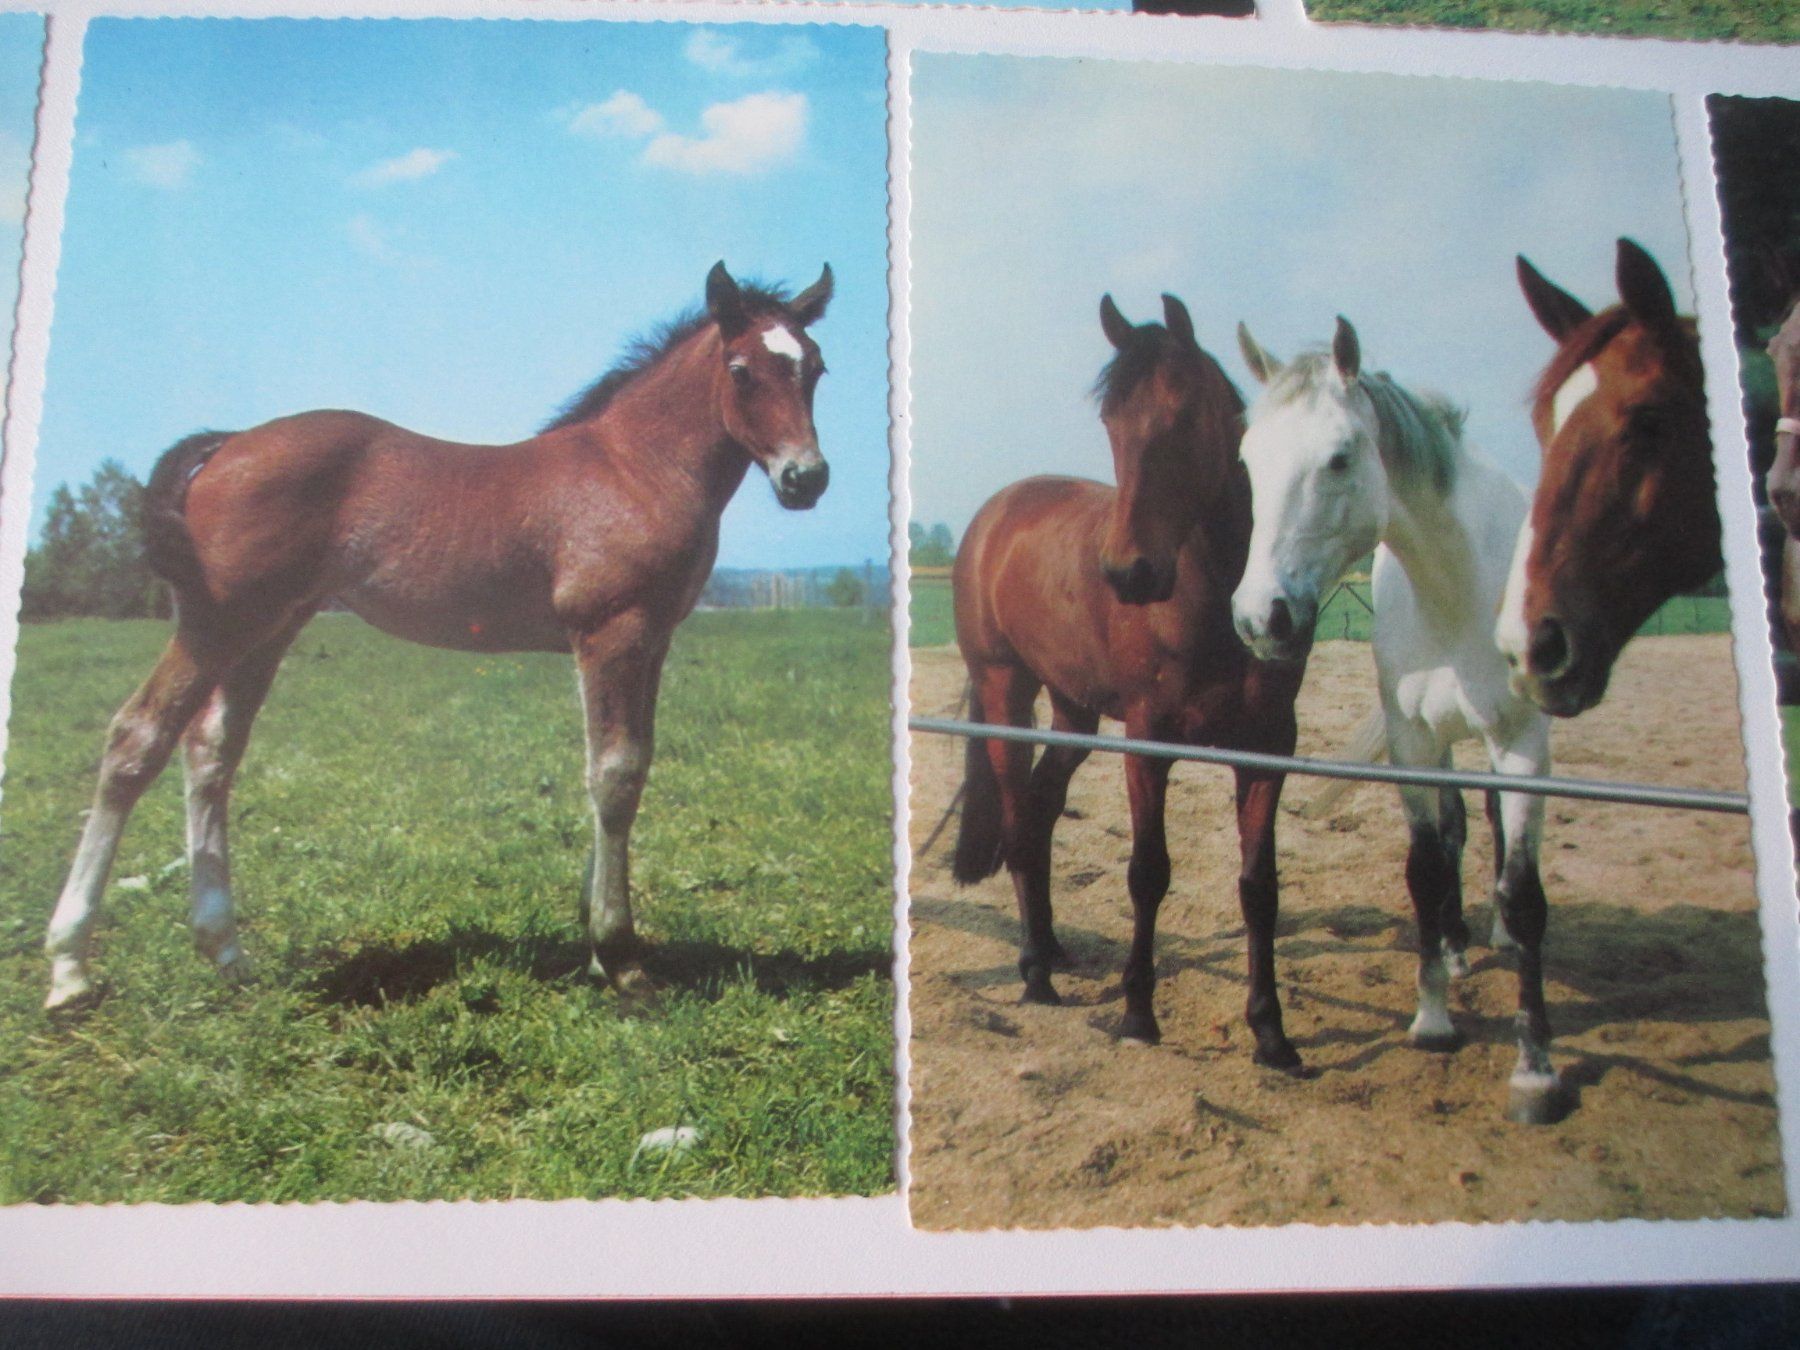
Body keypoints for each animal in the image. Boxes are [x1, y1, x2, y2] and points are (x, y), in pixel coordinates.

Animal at [41, 261, 835, 1012]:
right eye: (741, 368)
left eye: (816, 367)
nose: (807, 478)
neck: (635, 466)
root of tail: (228, 443)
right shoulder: (613, 633)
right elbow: (613, 775)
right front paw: (621, 958)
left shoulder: (652, 641)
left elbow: (626, 767)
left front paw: (594, 943)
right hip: (218, 622)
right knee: (137, 737)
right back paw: (69, 967)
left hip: (267, 627)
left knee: (211, 751)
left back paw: (226, 951)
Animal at [951, 293, 1310, 1070]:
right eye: (1112, 421)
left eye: (1187, 415)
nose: (1129, 574)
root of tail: (997, 512)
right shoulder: (1148, 742)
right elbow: (1148, 873)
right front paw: (1138, 1013)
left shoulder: (1269, 746)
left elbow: (1259, 887)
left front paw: (1271, 1032)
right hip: (1003, 693)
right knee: (1020, 821)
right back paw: (1035, 974)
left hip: (1074, 712)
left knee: (1042, 812)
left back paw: (1052, 949)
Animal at [1229, 318, 1562, 1124]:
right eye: (1249, 460)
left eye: (1340, 458)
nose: (1260, 619)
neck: (1457, 587)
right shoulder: (1412, 741)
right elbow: (1425, 867)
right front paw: (1434, 1019)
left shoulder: (1522, 746)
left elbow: (1524, 893)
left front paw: (1535, 1072)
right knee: (1458, 829)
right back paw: (1456, 946)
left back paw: (1492, 938)